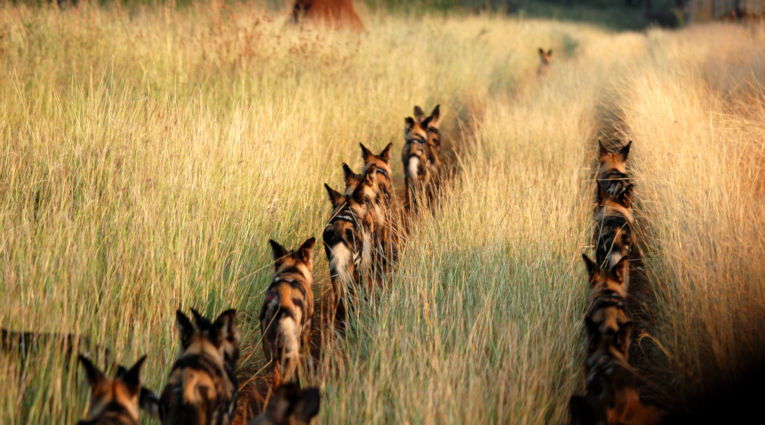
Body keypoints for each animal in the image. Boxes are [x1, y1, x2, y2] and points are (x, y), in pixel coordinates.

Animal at [258, 237, 314, 386]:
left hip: (269, 349)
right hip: (292, 348)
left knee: (276, 378)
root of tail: (280, 304)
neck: (292, 271)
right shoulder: (305, 333)